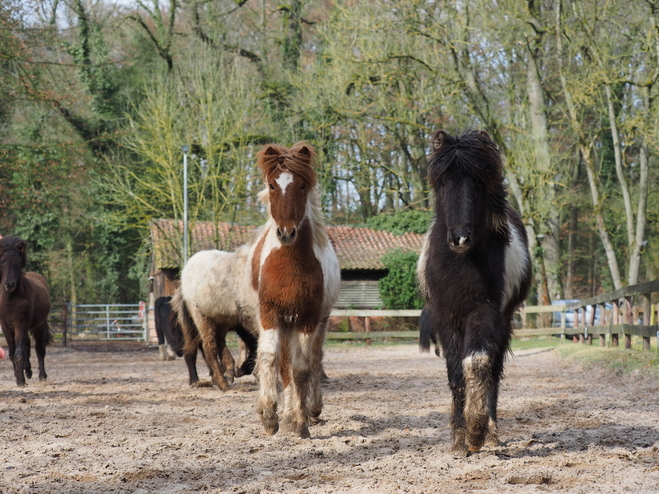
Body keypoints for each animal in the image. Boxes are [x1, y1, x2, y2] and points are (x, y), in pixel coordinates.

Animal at [0, 235, 53, 386]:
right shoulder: (6, 326)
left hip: (39, 326)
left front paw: (21, 381)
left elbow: (19, 353)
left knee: (39, 349)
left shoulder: (20, 324)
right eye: (3, 261)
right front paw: (19, 376)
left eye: (18, 262)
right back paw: (28, 371)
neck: (11, 299)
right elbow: (13, 353)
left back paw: (42, 376)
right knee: (27, 346)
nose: (9, 284)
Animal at [420, 130, 532, 456]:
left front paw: (477, 430)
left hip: (504, 321)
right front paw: (459, 438)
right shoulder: (445, 316)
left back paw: (492, 432)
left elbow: (478, 362)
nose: (460, 238)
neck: (462, 264)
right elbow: (456, 372)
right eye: (444, 182)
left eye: (479, 183)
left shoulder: (485, 312)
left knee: (494, 369)